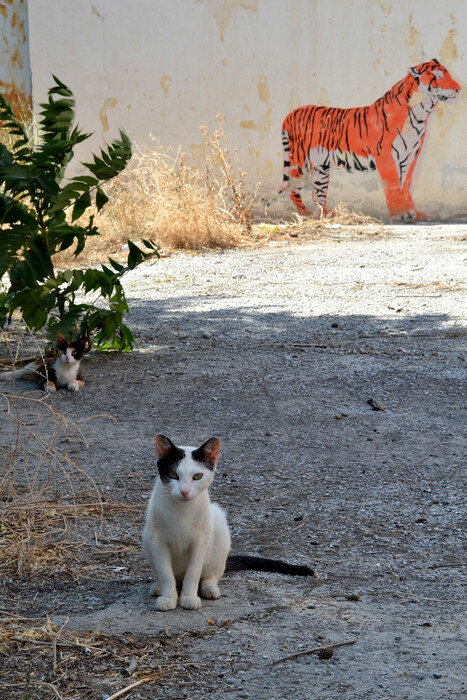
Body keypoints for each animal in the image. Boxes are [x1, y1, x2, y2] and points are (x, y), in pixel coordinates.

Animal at [141, 434, 312, 608]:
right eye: (173, 474)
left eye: (197, 476)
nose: (184, 491)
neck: (182, 510)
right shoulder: (157, 540)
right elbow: (166, 573)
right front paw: (169, 597)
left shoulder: (200, 541)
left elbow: (194, 573)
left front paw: (189, 597)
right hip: (147, 539)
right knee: (169, 576)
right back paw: (159, 587)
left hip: (219, 528)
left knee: (210, 575)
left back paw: (209, 588)